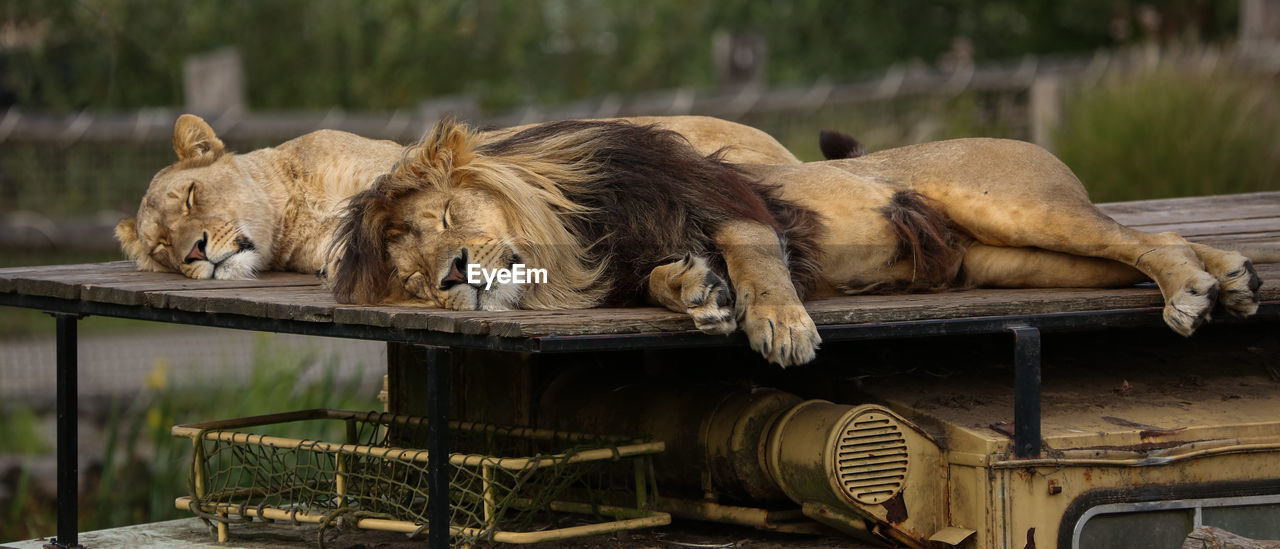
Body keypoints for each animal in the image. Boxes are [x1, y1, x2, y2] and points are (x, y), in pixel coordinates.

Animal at [327, 120, 1259, 368]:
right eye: (416, 278)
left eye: (448, 221)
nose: (454, 274)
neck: (575, 241)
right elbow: (667, 278)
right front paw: (699, 296)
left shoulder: (725, 198)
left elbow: (759, 261)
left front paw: (777, 324)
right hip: (1011, 260)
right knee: (1134, 244)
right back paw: (1232, 279)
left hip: (1018, 208)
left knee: (1142, 235)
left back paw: (1193, 291)